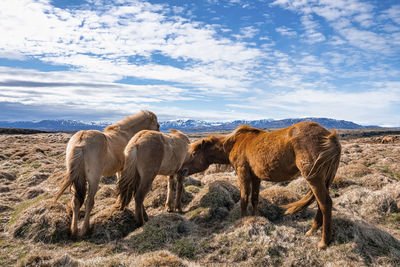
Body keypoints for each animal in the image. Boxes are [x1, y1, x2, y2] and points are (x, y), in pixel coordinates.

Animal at [180, 122, 340, 250]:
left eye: (193, 153)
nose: (181, 170)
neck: (234, 143)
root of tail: (329, 136)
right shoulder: (255, 178)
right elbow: (255, 199)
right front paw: (255, 219)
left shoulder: (243, 173)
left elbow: (244, 199)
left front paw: (242, 221)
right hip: (323, 180)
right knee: (320, 204)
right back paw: (312, 231)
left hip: (314, 179)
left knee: (325, 204)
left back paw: (323, 242)